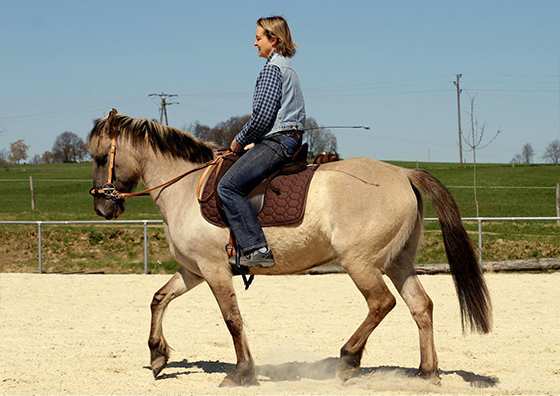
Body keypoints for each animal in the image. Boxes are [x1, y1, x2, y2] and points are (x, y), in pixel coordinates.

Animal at [86, 111, 490, 386]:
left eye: (99, 157)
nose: (103, 207)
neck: (186, 189)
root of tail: (403, 173)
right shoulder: (194, 271)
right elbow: (159, 299)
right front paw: (157, 356)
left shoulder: (215, 270)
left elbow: (232, 319)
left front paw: (242, 372)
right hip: (397, 262)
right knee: (421, 306)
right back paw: (427, 372)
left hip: (361, 263)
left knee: (382, 303)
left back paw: (349, 358)